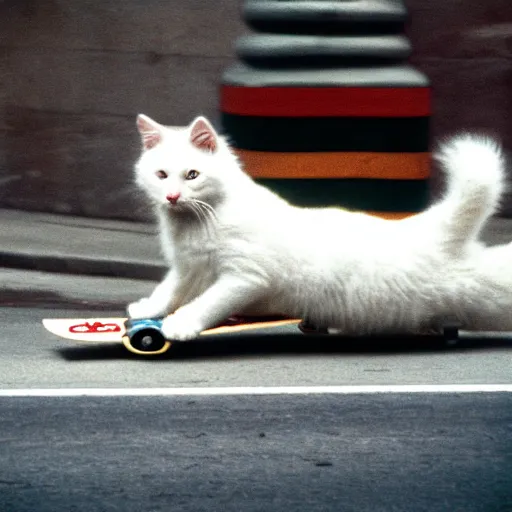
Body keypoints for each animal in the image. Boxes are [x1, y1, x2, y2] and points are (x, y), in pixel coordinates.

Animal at [127, 115, 508, 340]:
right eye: (161, 175)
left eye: (192, 174)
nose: (172, 196)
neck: (199, 219)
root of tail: (429, 228)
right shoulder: (187, 268)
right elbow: (168, 291)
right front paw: (148, 310)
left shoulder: (245, 277)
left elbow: (208, 303)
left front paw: (182, 324)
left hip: (480, 294)